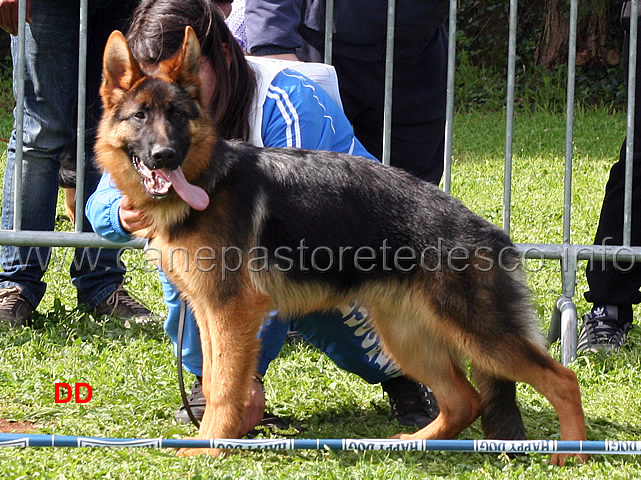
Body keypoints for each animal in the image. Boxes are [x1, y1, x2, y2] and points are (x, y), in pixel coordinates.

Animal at [94, 27, 584, 464]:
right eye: (140, 117)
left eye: (178, 115)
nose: (164, 156)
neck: (208, 180)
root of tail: (491, 232)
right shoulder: (209, 311)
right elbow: (215, 381)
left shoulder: (232, 313)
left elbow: (225, 388)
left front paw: (210, 447)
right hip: (406, 336)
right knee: (465, 399)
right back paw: (414, 443)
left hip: (480, 336)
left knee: (563, 379)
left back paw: (573, 453)